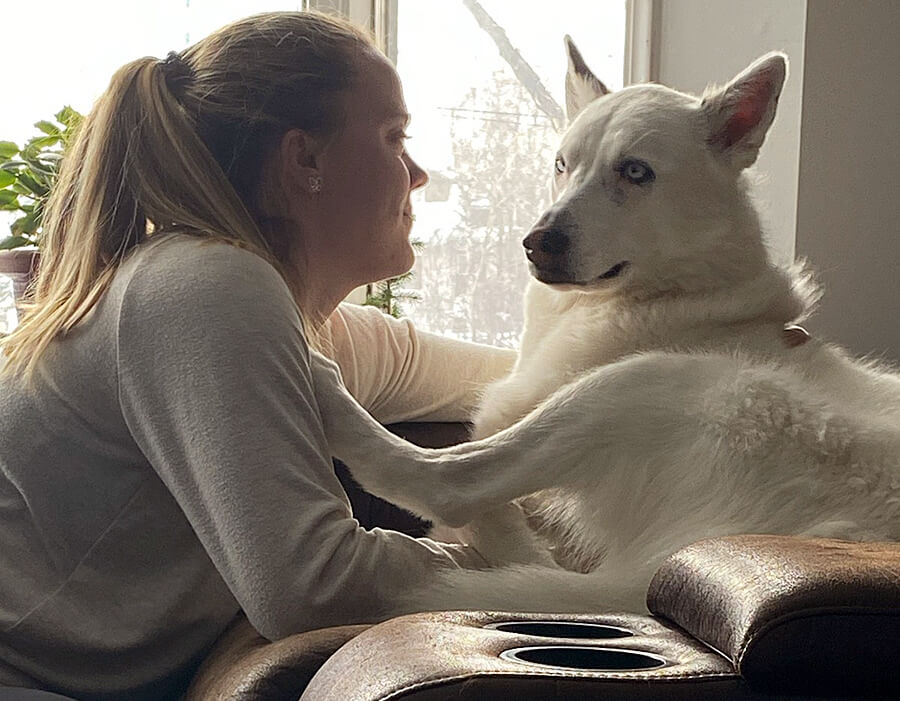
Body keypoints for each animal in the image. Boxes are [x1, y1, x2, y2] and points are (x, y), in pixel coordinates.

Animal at [312, 42, 900, 612]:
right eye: (561, 164)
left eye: (636, 171)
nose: (536, 243)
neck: (675, 297)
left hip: (662, 382)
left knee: (451, 482)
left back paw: (327, 387)